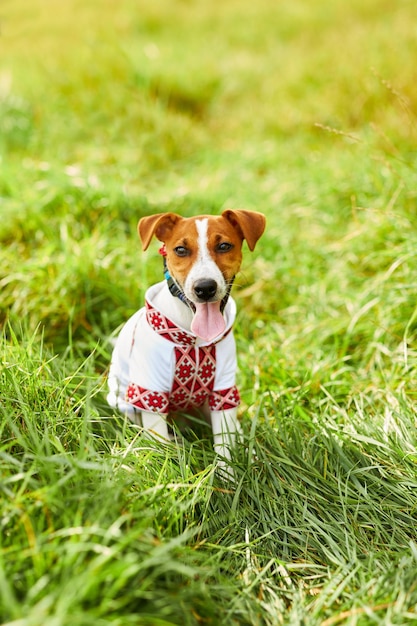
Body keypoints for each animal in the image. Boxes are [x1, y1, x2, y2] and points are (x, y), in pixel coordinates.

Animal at [105, 208, 264, 464]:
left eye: (224, 246)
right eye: (180, 249)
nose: (205, 287)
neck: (196, 343)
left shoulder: (222, 390)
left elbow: (225, 444)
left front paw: (227, 472)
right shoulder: (150, 392)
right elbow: (159, 444)